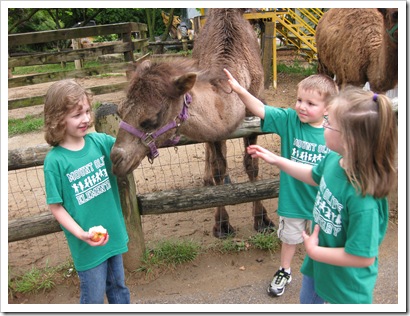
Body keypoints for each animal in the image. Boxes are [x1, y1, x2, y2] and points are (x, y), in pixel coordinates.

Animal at [110, 8, 274, 238]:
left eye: (151, 119)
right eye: (120, 110)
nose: (116, 159)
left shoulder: (255, 114)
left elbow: (252, 166)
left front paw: (262, 220)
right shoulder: (216, 130)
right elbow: (218, 168)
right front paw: (222, 225)